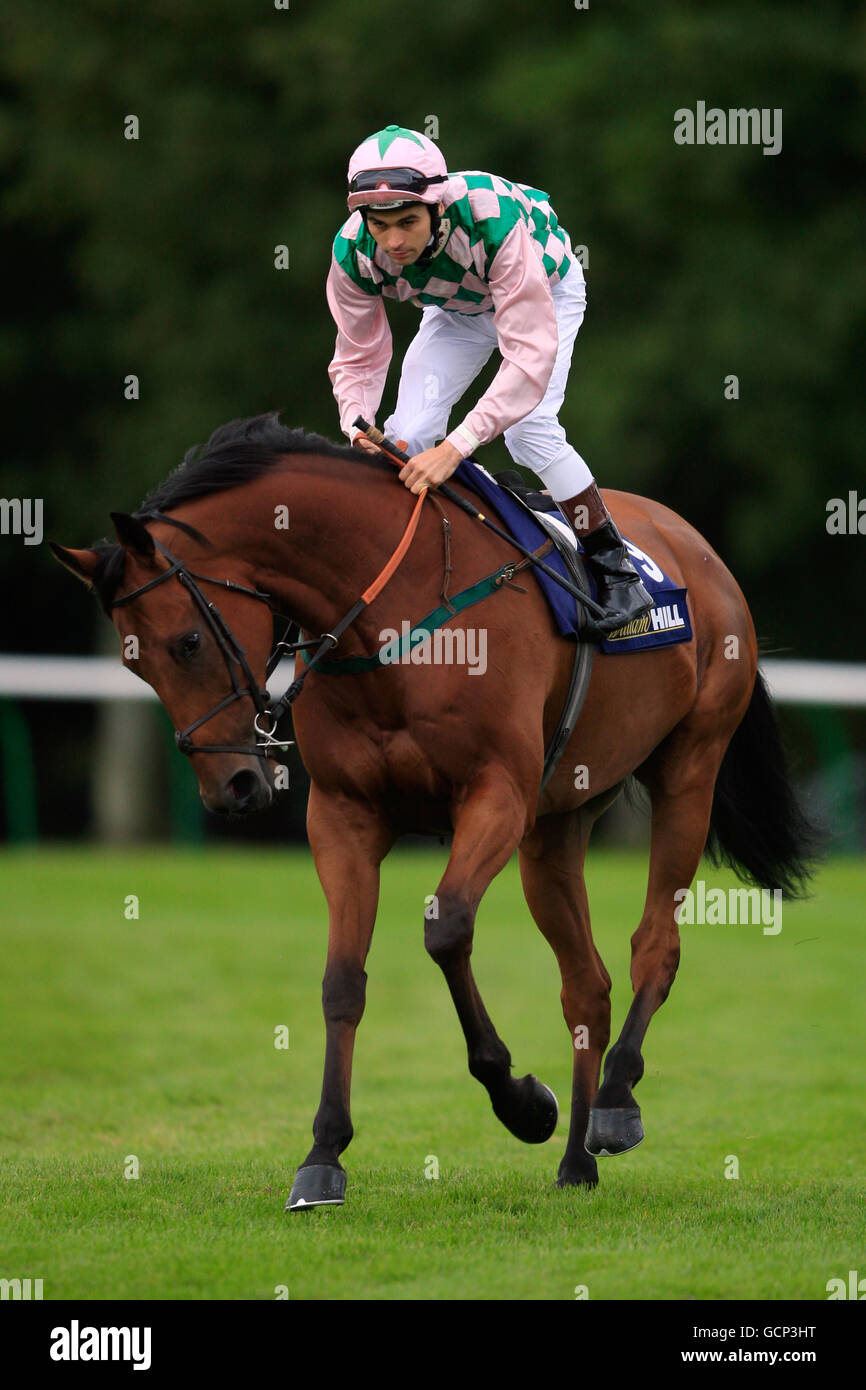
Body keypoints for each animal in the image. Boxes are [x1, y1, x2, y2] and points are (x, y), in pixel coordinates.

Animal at [48, 408, 817, 1206]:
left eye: (189, 641)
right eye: (135, 662)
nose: (230, 787)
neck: (391, 616)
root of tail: (699, 548)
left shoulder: (496, 796)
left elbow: (445, 931)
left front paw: (521, 1101)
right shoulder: (344, 815)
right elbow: (341, 980)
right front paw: (322, 1155)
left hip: (689, 769)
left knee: (655, 947)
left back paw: (614, 1105)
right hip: (559, 823)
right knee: (587, 988)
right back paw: (575, 1162)